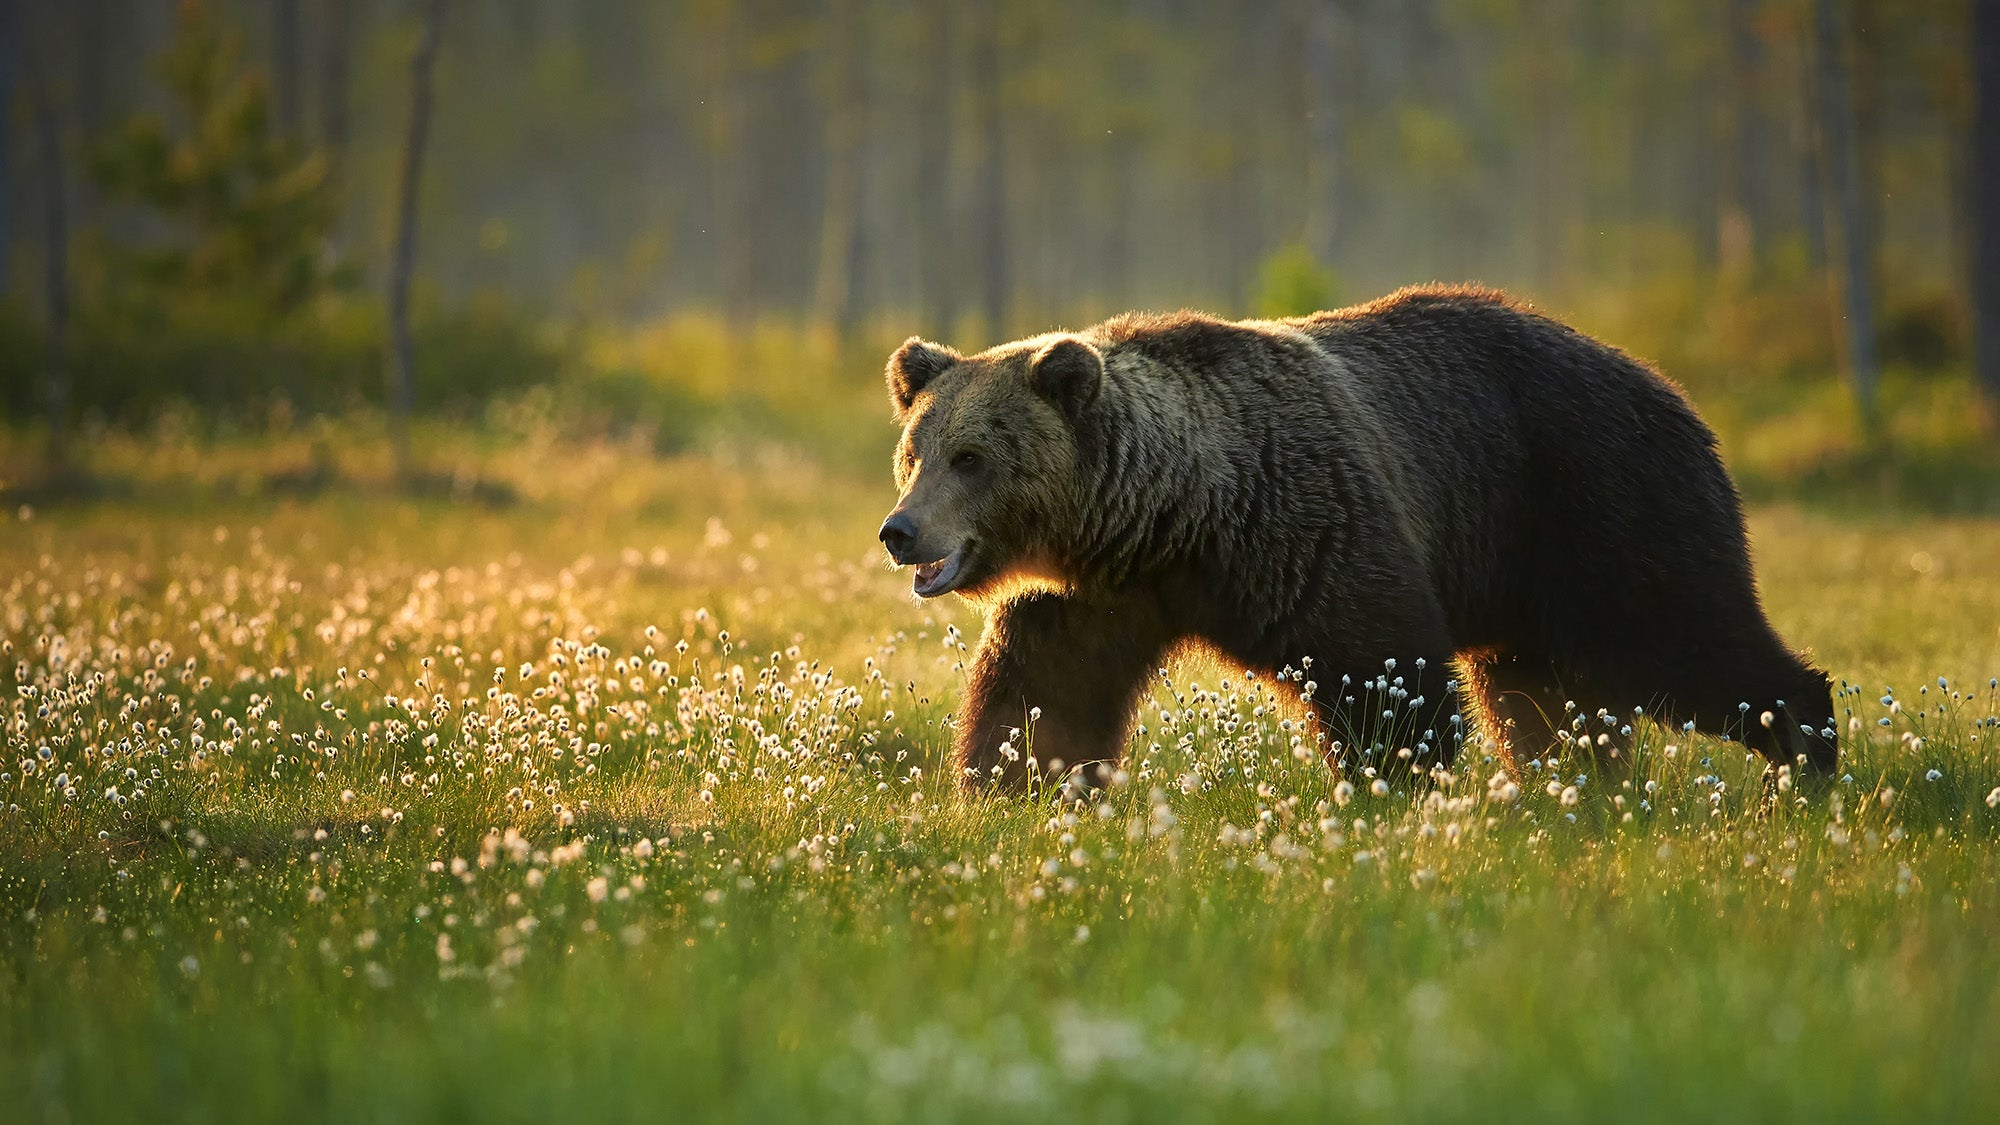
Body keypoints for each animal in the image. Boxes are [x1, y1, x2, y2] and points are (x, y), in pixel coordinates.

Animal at [877, 285, 1838, 793]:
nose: (900, 531)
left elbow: (1381, 671)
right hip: (1528, 578)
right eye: (915, 452)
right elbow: (1045, 692)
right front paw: (1013, 783)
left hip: (1600, 504)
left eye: (972, 457)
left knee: (1689, 638)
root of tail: (1673, 389)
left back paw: (1802, 760)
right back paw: (1574, 789)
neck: (1172, 519)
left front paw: (1387, 786)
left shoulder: (1307, 525)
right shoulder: (1094, 596)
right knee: (1543, 699)